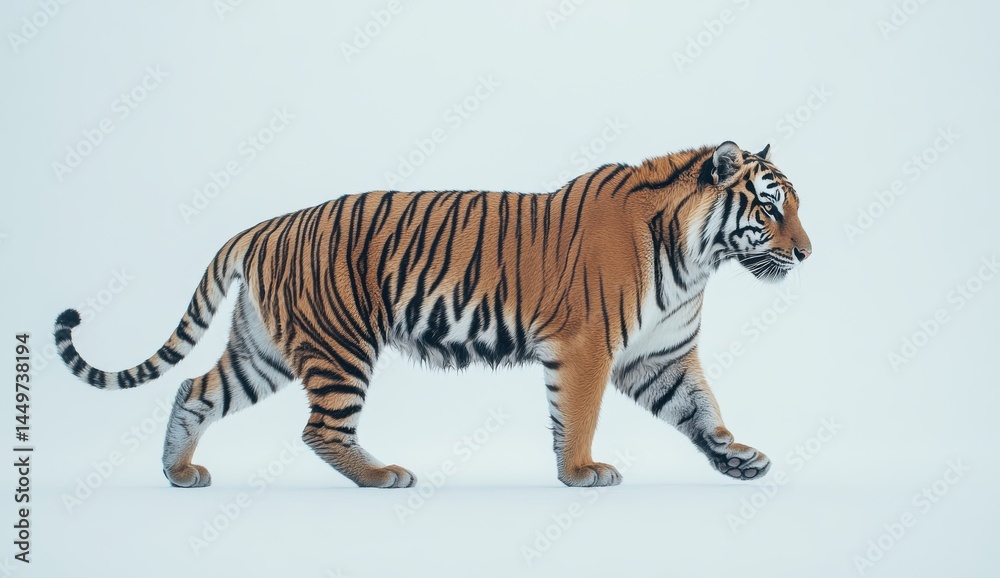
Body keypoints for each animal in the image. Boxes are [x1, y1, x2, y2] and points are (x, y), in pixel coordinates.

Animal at [54, 141, 811, 489]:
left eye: (794, 206)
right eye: (771, 207)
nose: (807, 253)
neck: (698, 259)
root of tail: (269, 225)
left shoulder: (660, 356)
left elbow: (701, 408)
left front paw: (736, 457)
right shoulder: (586, 348)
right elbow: (579, 416)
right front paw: (581, 473)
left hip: (261, 349)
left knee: (193, 389)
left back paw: (178, 473)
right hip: (340, 346)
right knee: (318, 429)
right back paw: (382, 476)